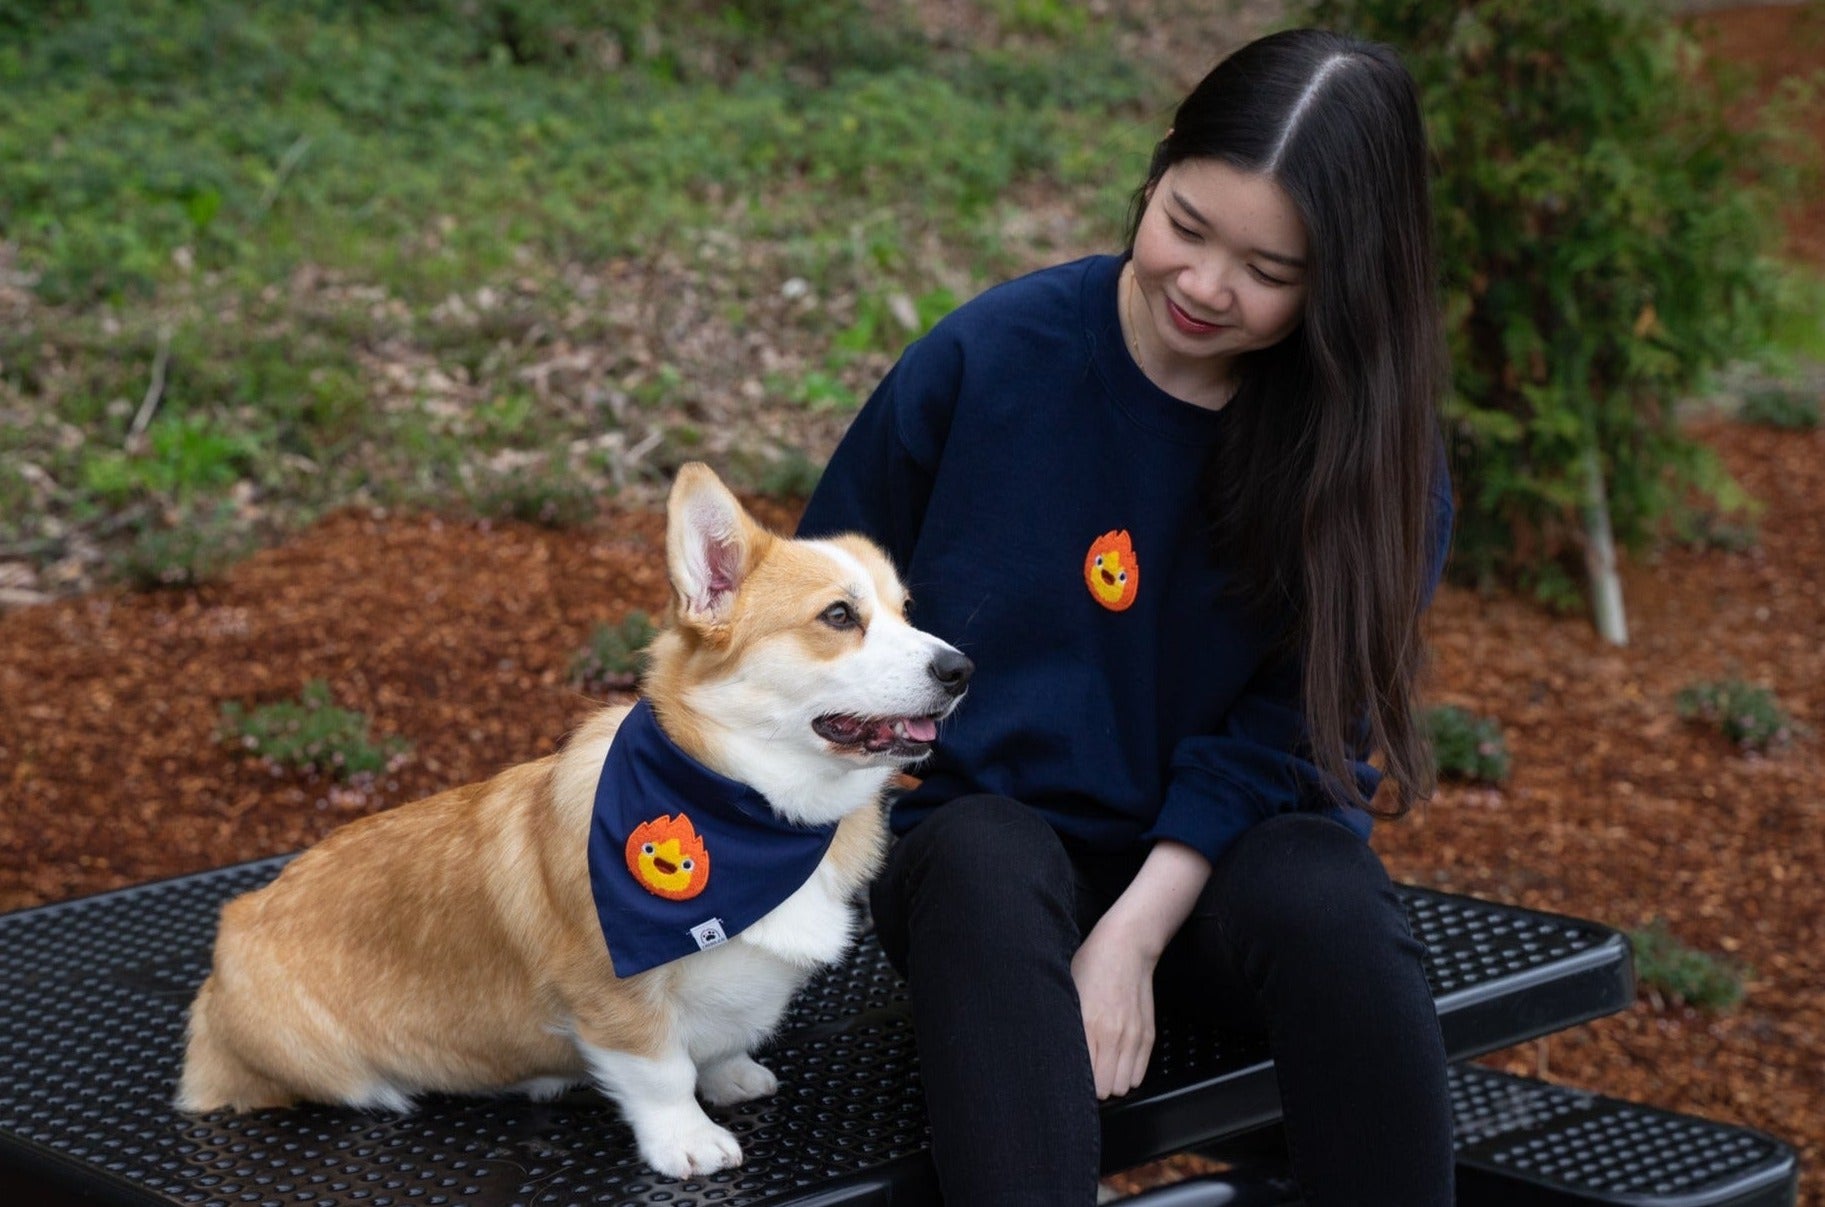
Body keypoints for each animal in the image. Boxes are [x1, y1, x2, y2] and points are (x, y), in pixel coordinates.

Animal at [177, 461, 970, 1175]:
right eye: (838, 616)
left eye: (906, 611)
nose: (961, 669)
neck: (746, 803)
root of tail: (234, 929)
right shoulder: (611, 992)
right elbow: (663, 1069)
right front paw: (687, 1141)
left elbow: (714, 1045)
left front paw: (731, 1075)